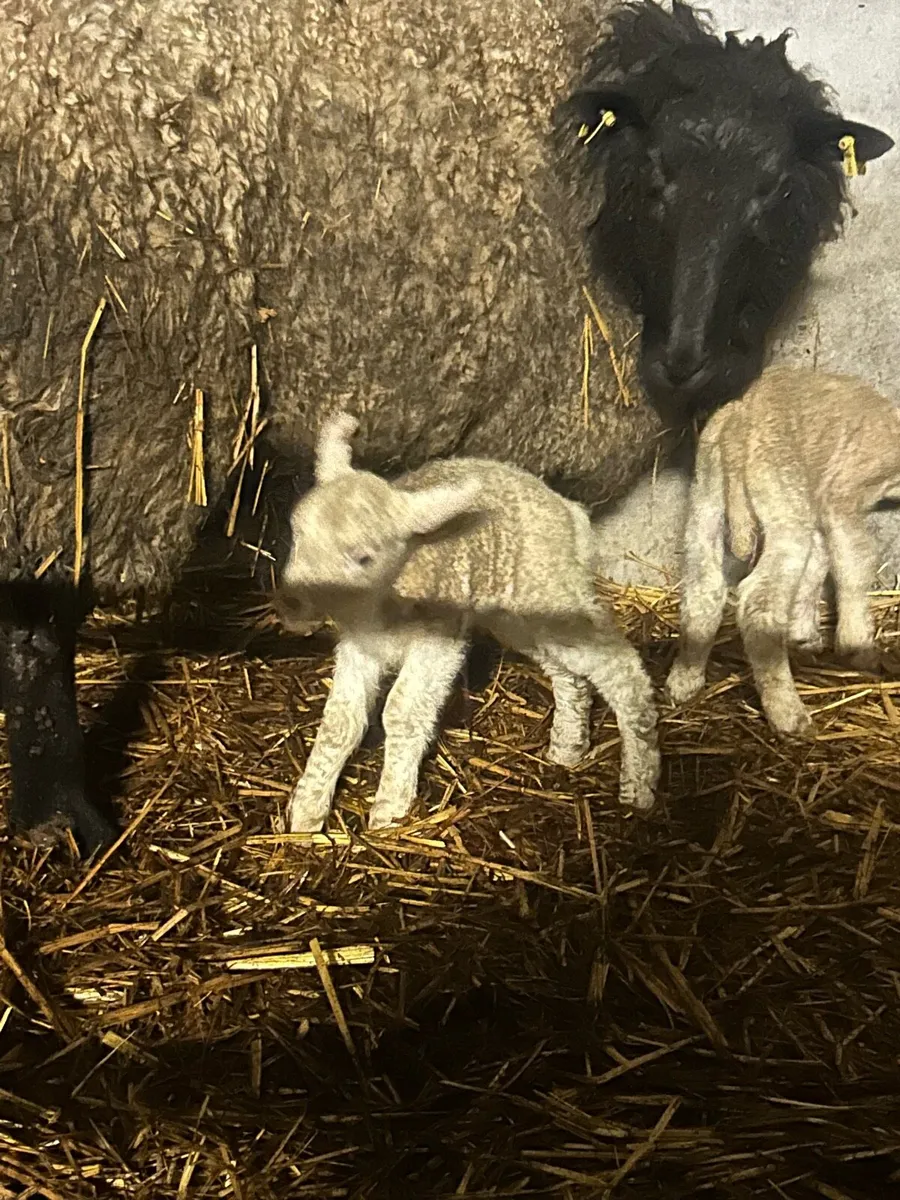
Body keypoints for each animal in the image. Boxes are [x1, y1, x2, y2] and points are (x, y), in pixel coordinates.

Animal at [276, 414, 660, 832]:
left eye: (363, 557)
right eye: (296, 534)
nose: (291, 602)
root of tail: (565, 507)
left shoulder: (438, 642)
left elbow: (403, 712)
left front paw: (391, 811)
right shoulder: (360, 647)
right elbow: (339, 721)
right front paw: (306, 814)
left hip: (550, 587)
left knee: (621, 670)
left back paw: (639, 784)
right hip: (518, 613)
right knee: (568, 674)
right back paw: (568, 746)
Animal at [665, 366, 900, 737]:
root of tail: (740, 425)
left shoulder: (816, 502)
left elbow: (818, 563)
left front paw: (804, 636)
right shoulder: (841, 493)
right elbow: (852, 563)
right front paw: (856, 646)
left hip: (706, 498)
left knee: (703, 588)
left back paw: (684, 680)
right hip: (781, 497)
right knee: (758, 604)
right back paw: (788, 714)